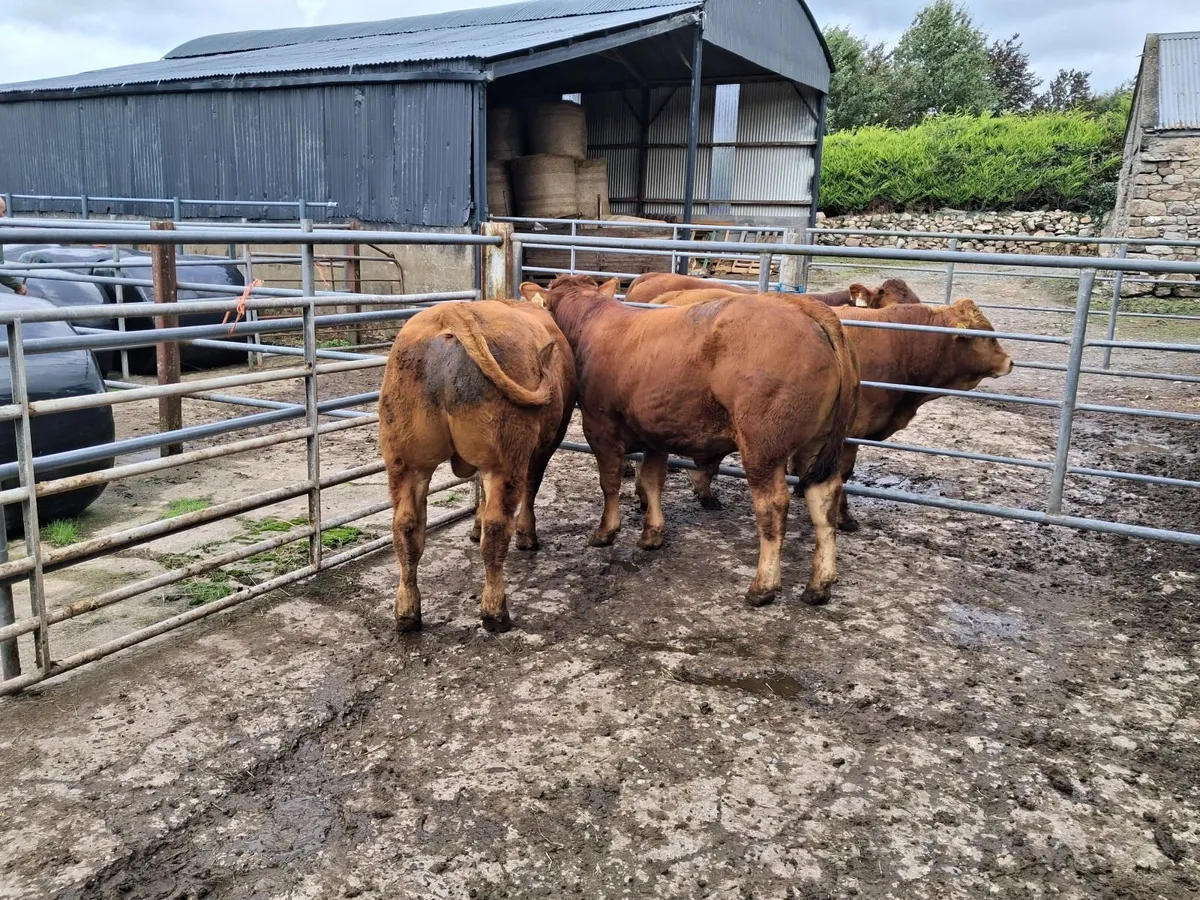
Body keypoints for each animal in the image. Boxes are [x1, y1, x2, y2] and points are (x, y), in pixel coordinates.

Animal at [378, 299, 576, 634]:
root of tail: (451, 312)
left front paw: (474, 527)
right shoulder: (544, 445)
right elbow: (531, 486)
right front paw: (526, 535)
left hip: (405, 460)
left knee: (406, 527)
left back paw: (407, 612)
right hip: (504, 459)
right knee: (497, 528)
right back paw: (495, 611)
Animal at [522, 274, 859, 608]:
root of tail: (800, 306)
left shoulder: (599, 427)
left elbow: (610, 482)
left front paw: (606, 531)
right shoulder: (654, 433)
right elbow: (652, 481)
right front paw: (652, 533)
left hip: (762, 447)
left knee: (773, 506)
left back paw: (763, 586)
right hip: (816, 443)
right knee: (824, 499)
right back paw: (819, 585)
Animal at [648, 298, 1013, 528]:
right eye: (985, 336)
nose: (1010, 361)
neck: (903, 344)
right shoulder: (851, 432)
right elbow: (844, 474)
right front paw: (845, 517)